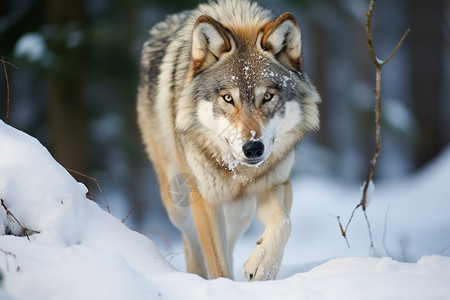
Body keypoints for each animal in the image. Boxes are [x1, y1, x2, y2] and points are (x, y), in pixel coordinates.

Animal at [137, 0, 320, 282]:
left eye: (267, 97)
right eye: (227, 98)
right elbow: (217, 263)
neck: (240, 173)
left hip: (239, 212)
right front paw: (221, 284)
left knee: (230, 243)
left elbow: (283, 222)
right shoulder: (205, 199)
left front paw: (262, 264)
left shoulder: (275, 185)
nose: (253, 148)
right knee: (191, 241)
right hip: (177, 199)